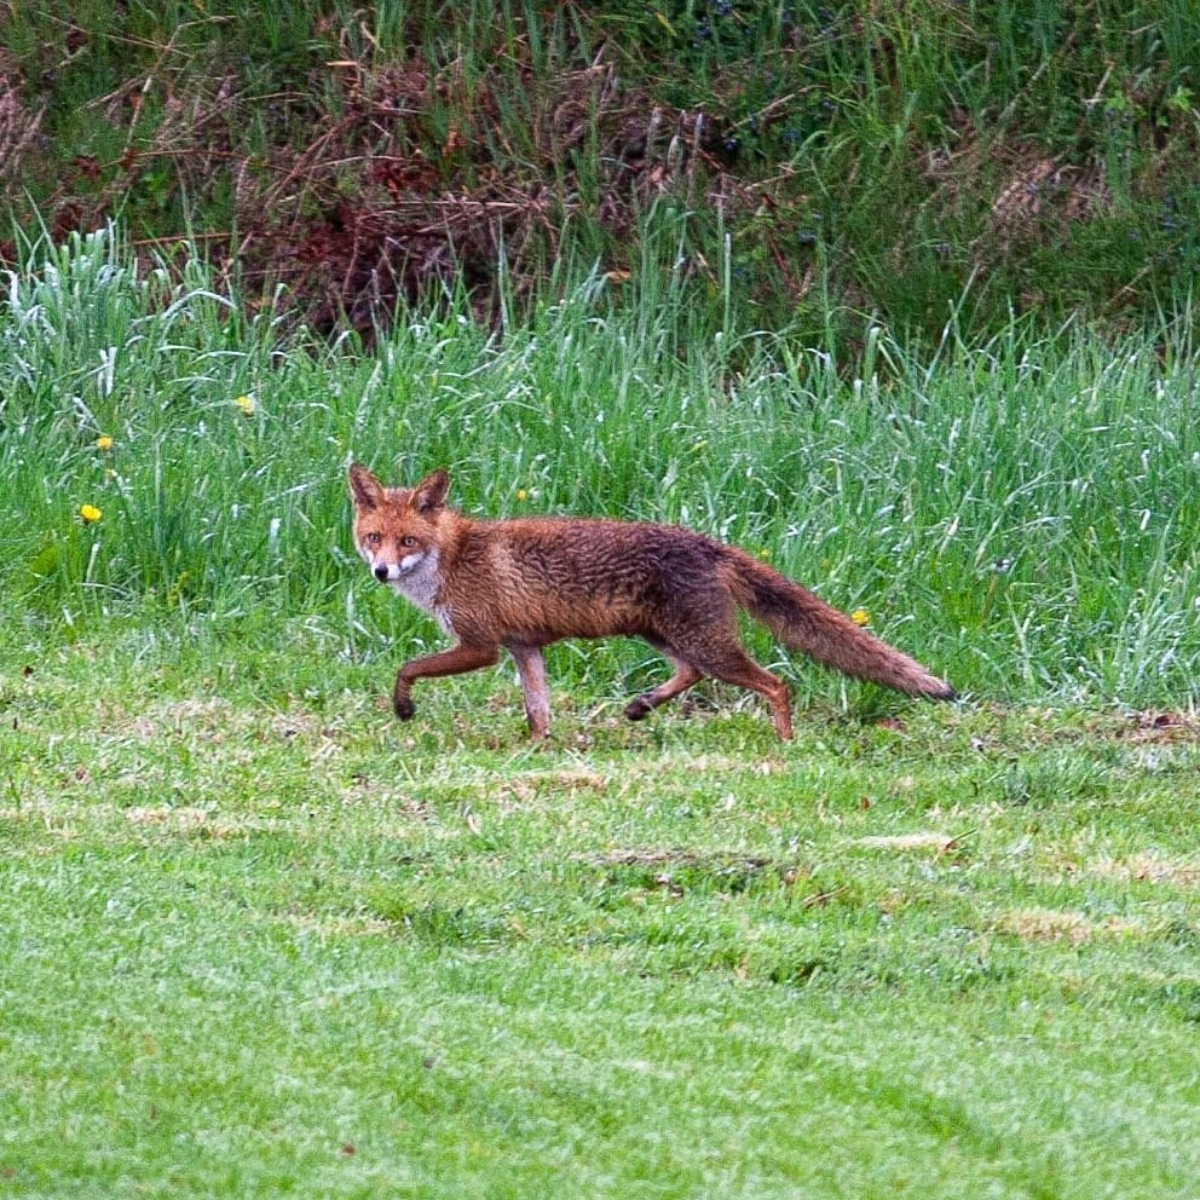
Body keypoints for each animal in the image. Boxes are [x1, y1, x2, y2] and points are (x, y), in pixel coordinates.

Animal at [350, 460, 955, 734]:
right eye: (374, 538)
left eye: (407, 542)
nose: (380, 572)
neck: (450, 560)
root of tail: (709, 543)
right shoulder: (525, 647)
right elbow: (538, 711)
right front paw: (539, 750)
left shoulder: (481, 646)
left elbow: (407, 668)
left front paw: (403, 708)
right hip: (662, 635)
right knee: (692, 673)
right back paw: (641, 706)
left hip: (705, 642)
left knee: (775, 684)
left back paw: (783, 742)